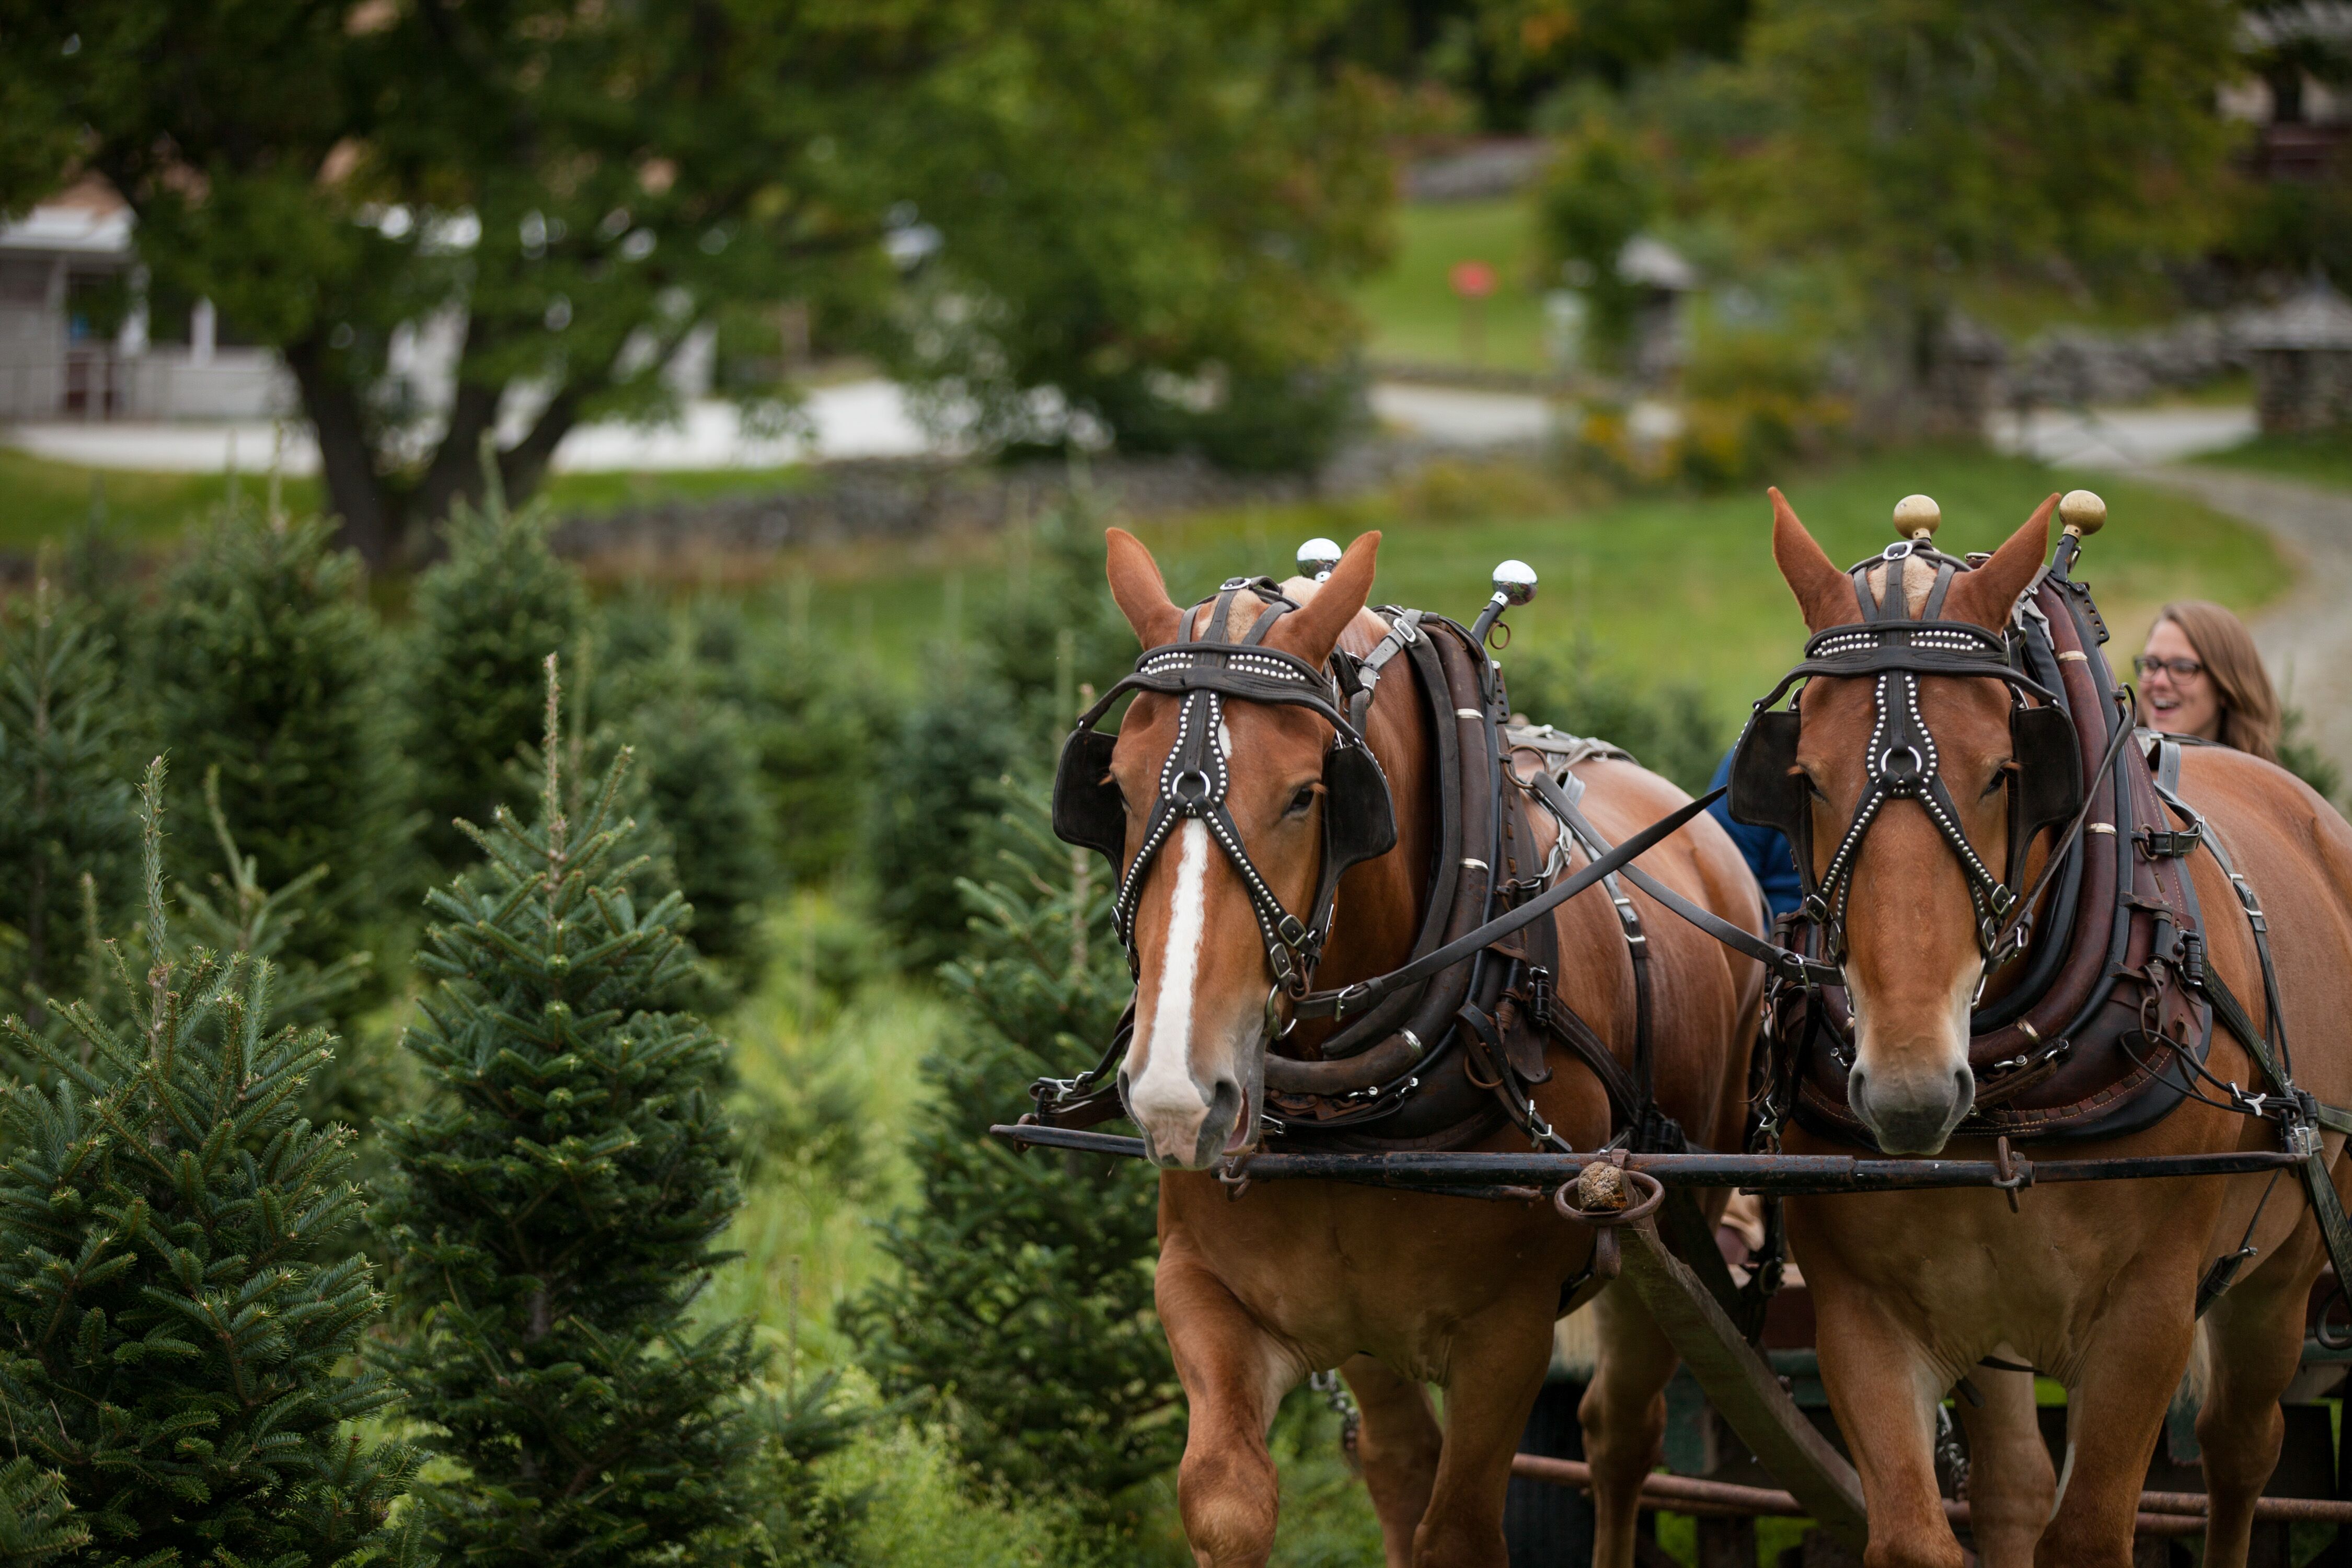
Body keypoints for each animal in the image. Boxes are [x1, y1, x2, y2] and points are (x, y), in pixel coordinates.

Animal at [1101, 531, 1769, 1568]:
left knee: (1620, 1442)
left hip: (1671, 1246)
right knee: (1397, 1460)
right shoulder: (1205, 1289)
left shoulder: (1509, 1336)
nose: (1177, 1095)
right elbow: (1228, 1501)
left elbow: (1460, 1531)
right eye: (1117, 789)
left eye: (1308, 797)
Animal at [1769, 493, 2352, 1568]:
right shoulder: (1863, 1313)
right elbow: (1919, 1535)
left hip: (2283, 1268)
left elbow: (2087, 1533)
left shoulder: (2150, 1314)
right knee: (2014, 1487)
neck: (2008, 1100)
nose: (1909, 1094)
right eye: (1805, 777)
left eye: (2008, 773)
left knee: (2240, 1451)